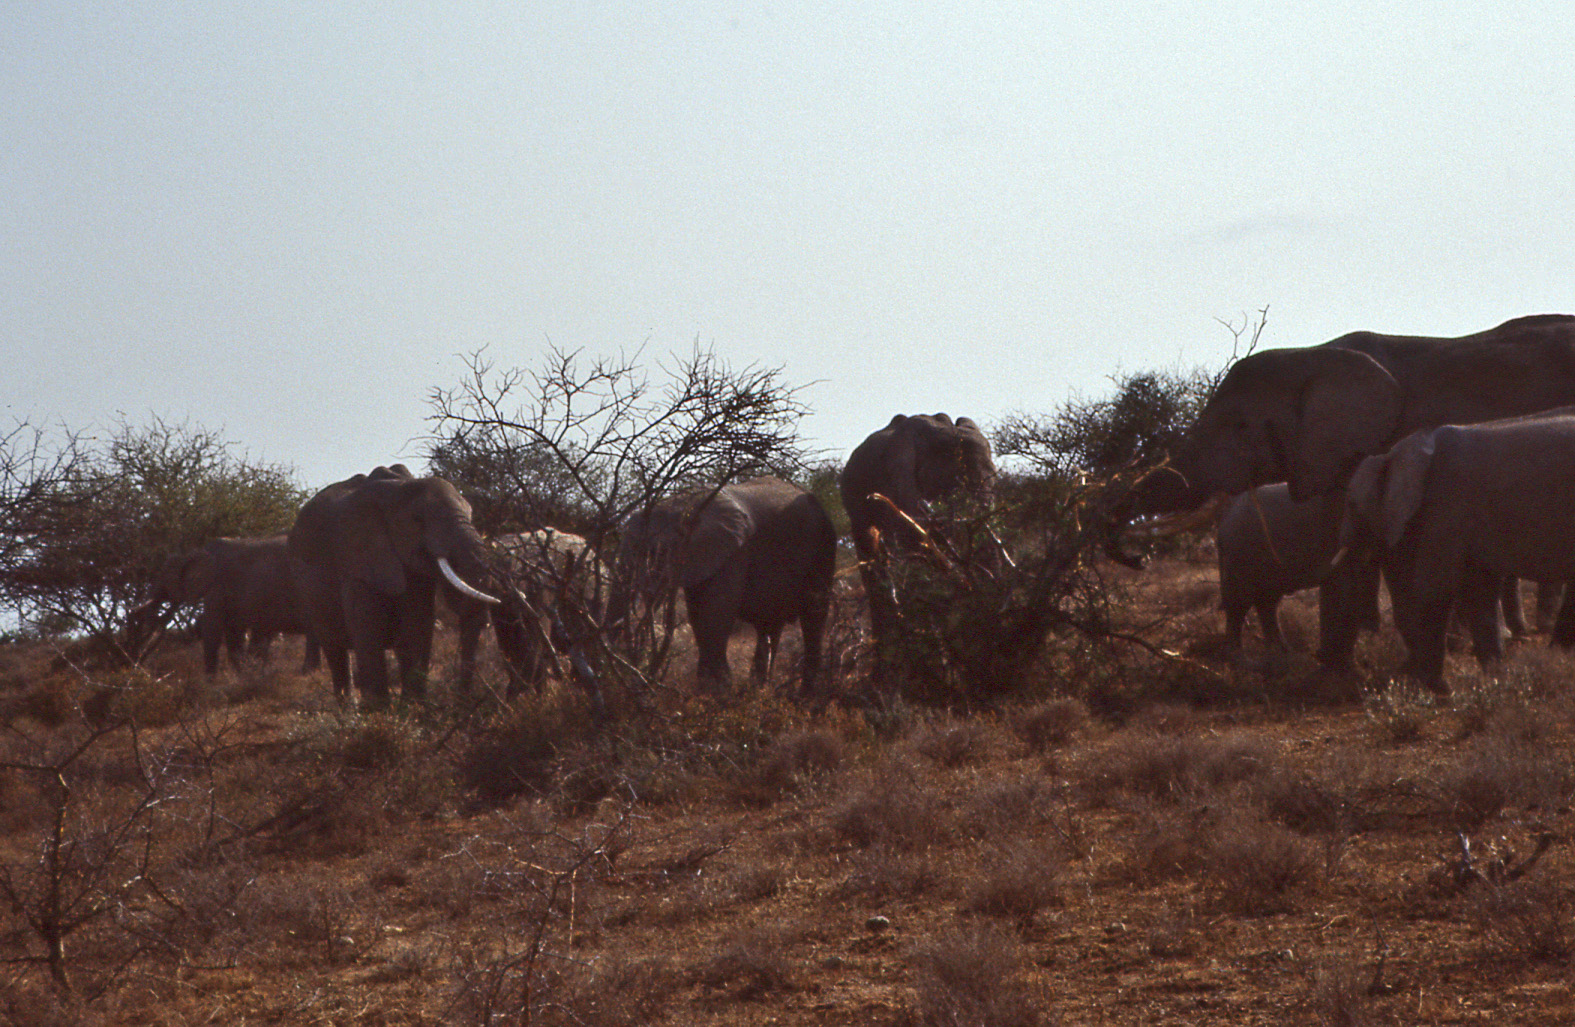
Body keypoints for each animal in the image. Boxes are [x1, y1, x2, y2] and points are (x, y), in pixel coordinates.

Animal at [128, 535, 320, 675]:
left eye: (164, 579)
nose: (132, 612)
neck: (192, 553)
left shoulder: (217, 585)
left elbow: (212, 629)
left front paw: (210, 683)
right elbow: (235, 632)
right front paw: (245, 674)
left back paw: (307, 672)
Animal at [287, 465, 507, 706]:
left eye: (470, 513)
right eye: (417, 519)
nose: (462, 699)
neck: (398, 490)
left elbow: (418, 626)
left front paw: (413, 707)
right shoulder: (356, 558)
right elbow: (368, 625)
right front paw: (378, 711)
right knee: (334, 650)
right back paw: (347, 708)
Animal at [608, 476, 837, 695]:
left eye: (652, 552)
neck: (683, 504)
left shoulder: (734, 551)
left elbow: (716, 613)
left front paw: (719, 691)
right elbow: (698, 616)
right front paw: (708, 690)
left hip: (823, 548)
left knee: (813, 618)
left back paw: (803, 696)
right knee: (770, 624)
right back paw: (757, 691)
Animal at [1339, 410, 1575, 693]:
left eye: (1351, 503)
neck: (1397, 454)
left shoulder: (1447, 508)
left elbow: (1435, 588)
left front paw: (1437, 688)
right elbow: (1479, 591)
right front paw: (1496, 678)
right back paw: (1557, 654)